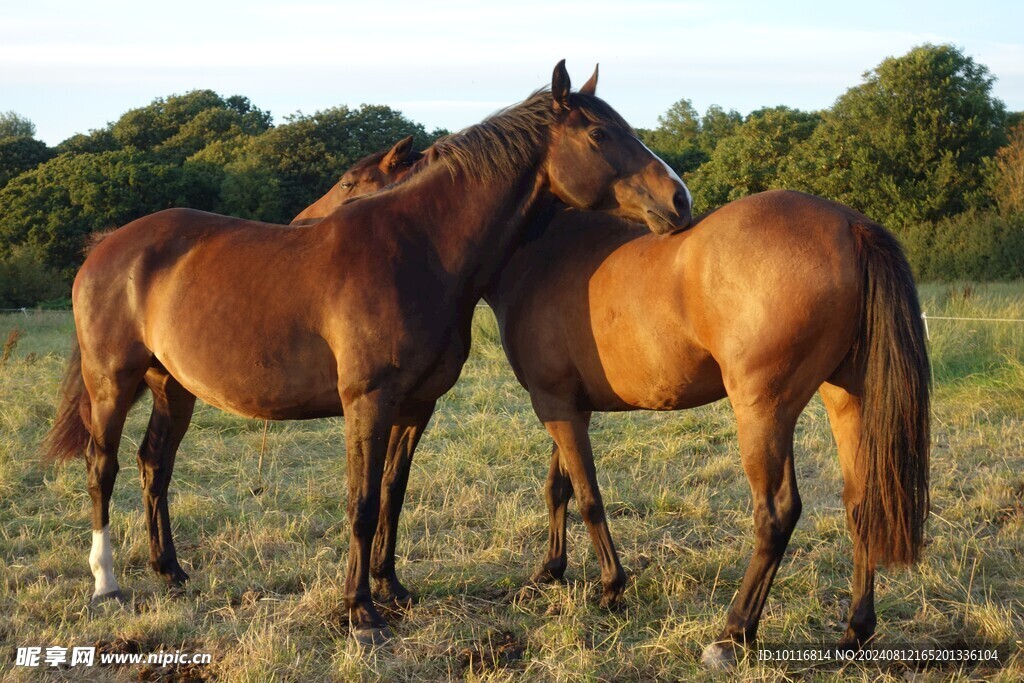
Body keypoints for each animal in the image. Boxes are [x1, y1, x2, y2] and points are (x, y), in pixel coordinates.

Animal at [44, 62, 692, 647]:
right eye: (599, 135)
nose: (680, 200)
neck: (419, 248)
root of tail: (105, 247)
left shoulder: (415, 408)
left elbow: (392, 495)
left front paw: (391, 590)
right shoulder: (368, 402)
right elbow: (361, 500)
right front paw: (359, 612)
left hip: (172, 388)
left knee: (155, 465)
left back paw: (171, 571)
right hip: (112, 384)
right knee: (103, 468)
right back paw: (106, 585)